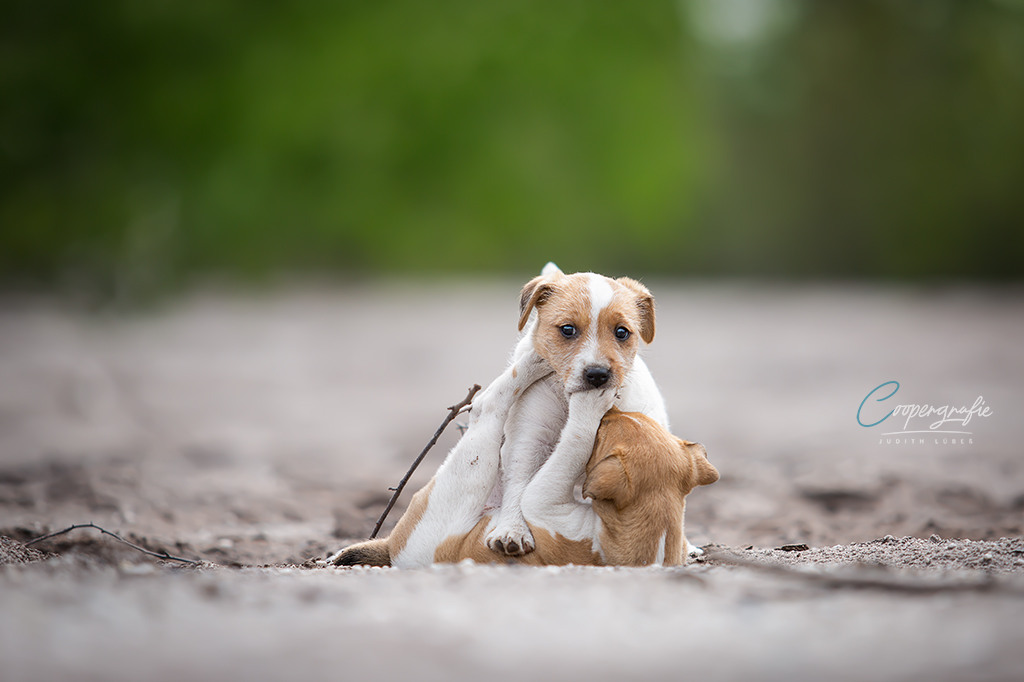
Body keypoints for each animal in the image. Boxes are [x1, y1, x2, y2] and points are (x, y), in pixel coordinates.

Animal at [331, 356, 716, 569]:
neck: (660, 527)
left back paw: (532, 360)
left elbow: (574, 441)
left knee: (488, 404)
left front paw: (588, 406)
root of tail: (393, 549)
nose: (611, 409)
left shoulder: (545, 498)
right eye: (633, 419)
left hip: (468, 474)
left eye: (605, 428)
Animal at [487, 260, 671, 552]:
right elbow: (518, 485)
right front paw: (512, 530)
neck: (568, 402)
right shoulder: (529, 439)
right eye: (567, 329)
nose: (597, 374)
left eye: (622, 332)